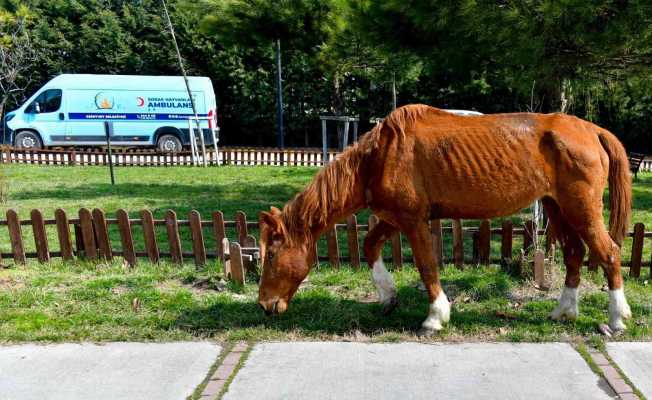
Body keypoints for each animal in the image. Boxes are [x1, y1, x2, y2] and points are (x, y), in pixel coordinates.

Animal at [258, 104, 632, 336]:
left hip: (581, 209)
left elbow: (426, 266)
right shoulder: (394, 218)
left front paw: (435, 317)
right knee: (574, 254)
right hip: (557, 209)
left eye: (272, 255)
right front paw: (387, 296)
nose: (264, 305)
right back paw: (564, 311)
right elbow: (370, 245)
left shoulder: (413, 221)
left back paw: (616, 319)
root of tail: (592, 130)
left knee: (609, 253)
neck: (381, 156)